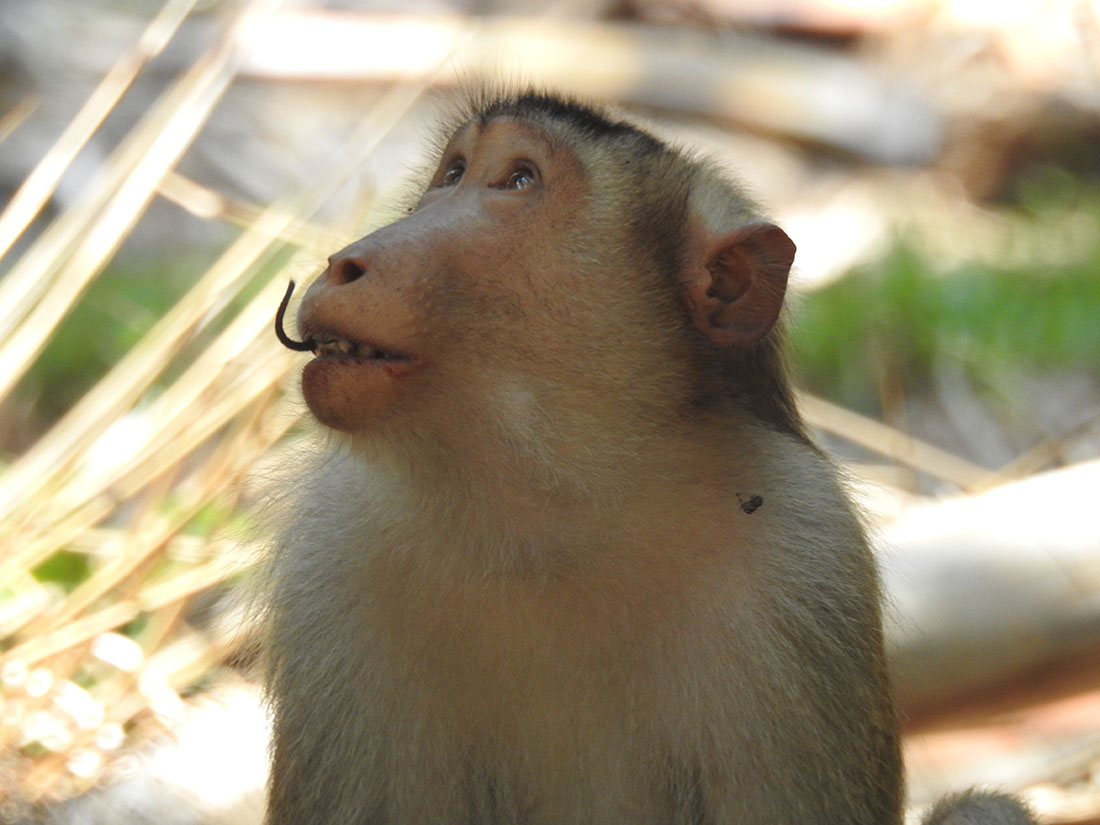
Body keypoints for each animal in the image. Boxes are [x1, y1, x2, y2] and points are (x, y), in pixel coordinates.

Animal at [265, 90, 1037, 825]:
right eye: (452, 174)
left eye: (517, 180)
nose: (346, 263)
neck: (552, 512)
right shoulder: (334, 553)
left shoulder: (804, 564)